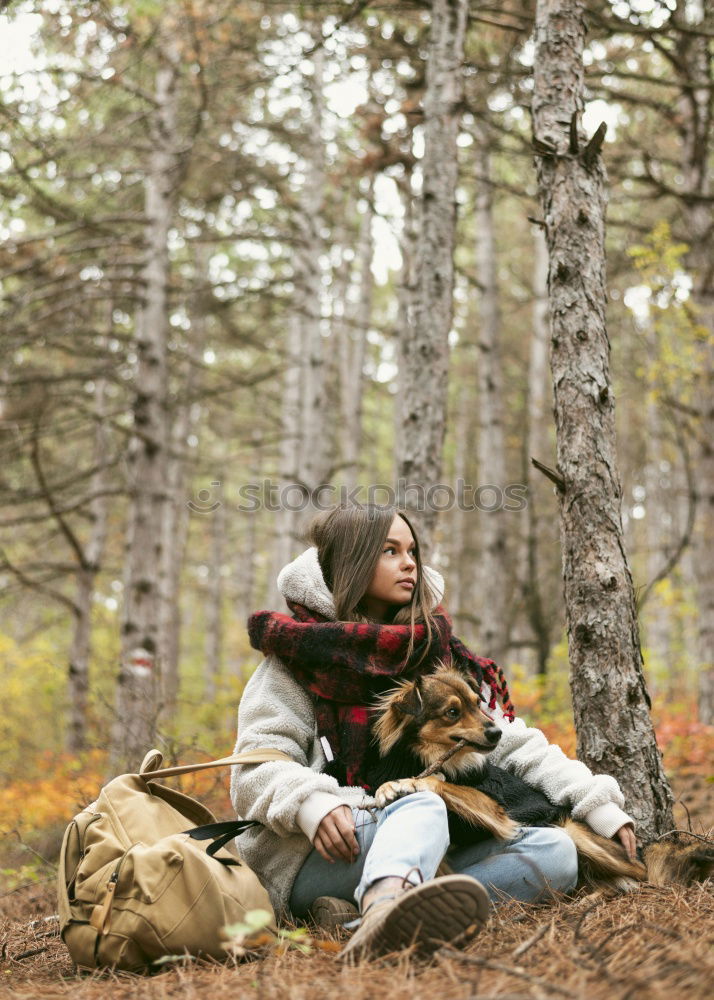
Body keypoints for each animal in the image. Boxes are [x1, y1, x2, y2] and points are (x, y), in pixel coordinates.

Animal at [364, 664, 708, 892]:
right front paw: (388, 787)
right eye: (452, 712)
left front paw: (412, 782)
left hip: (573, 830)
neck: (430, 757)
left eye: (478, 704)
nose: (497, 732)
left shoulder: (495, 808)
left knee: (641, 869)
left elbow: (443, 784)